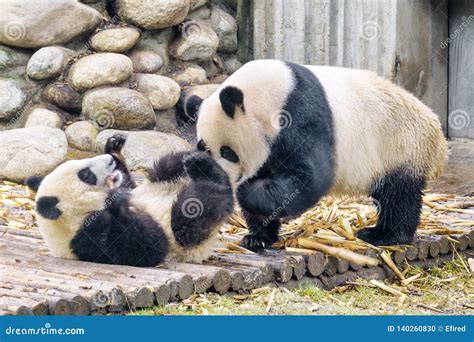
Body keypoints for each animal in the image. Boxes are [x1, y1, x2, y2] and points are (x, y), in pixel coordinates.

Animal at [25, 135, 233, 266]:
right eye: (85, 174)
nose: (109, 160)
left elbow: (128, 183)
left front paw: (114, 149)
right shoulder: (88, 238)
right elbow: (150, 246)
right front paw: (115, 201)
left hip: (157, 181)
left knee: (169, 165)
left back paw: (199, 156)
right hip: (186, 238)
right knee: (199, 205)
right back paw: (208, 174)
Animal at [186, 58, 448, 251]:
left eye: (227, 151)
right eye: (204, 147)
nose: (222, 178)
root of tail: (438, 134)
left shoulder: (298, 115)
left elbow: (310, 177)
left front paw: (247, 193)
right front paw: (257, 237)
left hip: (401, 148)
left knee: (399, 195)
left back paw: (384, 234)